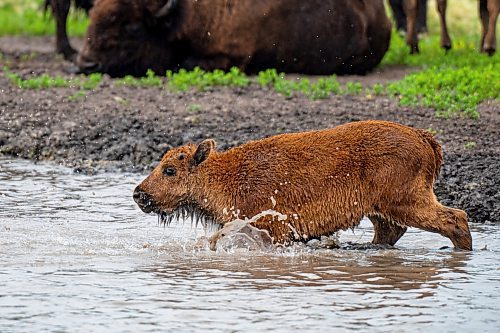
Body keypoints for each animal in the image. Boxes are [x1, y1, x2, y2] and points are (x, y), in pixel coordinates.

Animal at [134, 120, 472, 250]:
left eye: (169, 170)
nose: (139, 194)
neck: (224, 176)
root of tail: (426, 139)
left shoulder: (271, 227)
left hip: (405, 200)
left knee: (455, 217)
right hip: (381, 207)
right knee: (389, 231)